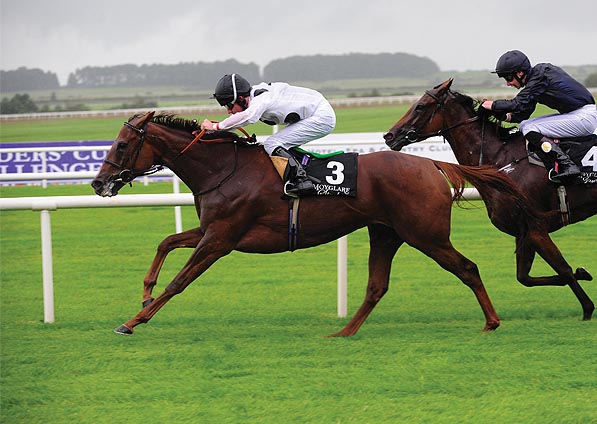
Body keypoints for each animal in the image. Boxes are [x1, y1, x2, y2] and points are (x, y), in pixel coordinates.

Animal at [92, 111, 540, 336]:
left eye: (122, 144)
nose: (98, 183)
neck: (223, 169)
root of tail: (433, 163)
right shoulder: (212, 231)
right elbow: (166, 242)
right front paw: (145, 294)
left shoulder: (220, 239)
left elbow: (179, 282)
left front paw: (132, 321)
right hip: (387, 233)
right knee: (377, 286)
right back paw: (343, 334)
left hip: (424, 235)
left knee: (467, 267)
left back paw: (492, 322)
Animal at [384, 78, 592, 322]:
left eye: (420, 106)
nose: (389, 136)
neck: (502, 160)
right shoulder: (524, 232)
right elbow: (525, 277)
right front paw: (583, 273)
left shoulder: (537, 227)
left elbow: (563, 269)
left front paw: (588, 309)